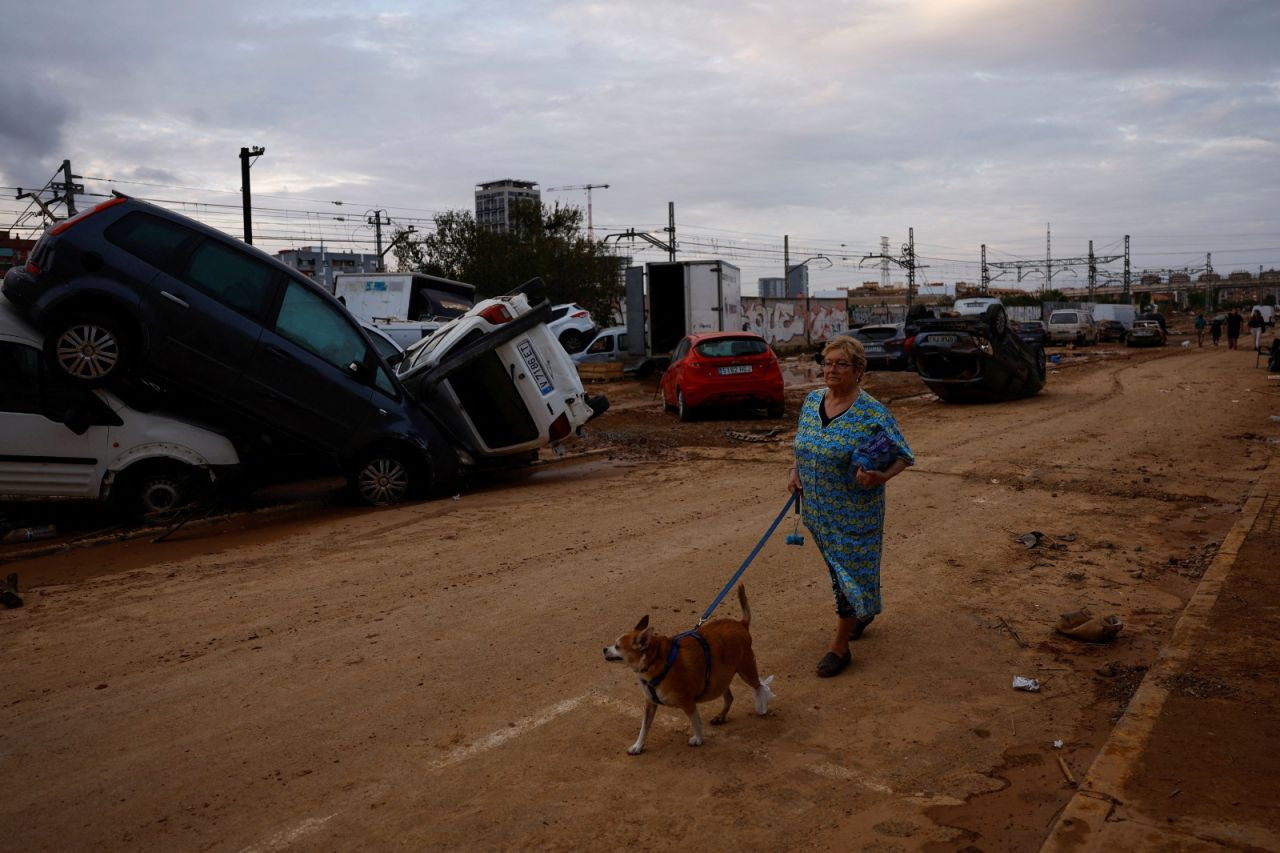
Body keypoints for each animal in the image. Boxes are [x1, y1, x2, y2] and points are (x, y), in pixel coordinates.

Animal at [604, 584, 773, 753]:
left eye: (617, 646)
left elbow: (696, 722)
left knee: (759, 685)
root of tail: (741, 623)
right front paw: (638, 746)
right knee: (729, 697)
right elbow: (644, 727)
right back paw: (720, 716)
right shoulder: (650, 704)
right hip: (719, 676)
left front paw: (698, 739)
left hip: (746, 670)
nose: (604, 649)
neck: (656, 660)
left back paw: (762, 706)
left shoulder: (688, 703)